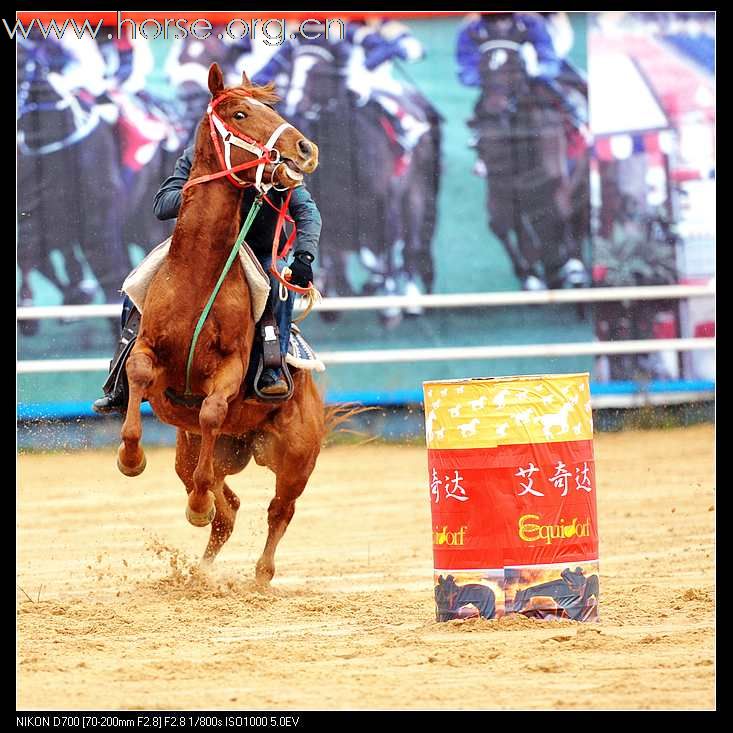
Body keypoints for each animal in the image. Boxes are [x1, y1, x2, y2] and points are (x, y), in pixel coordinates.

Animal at [117, 66, 324, 588]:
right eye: (240, 112)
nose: (304, 148)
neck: (199, 274)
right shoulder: (147, 346)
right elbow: (139, 374)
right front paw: (131, 460)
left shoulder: (229, 369)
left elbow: (211, 409)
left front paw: (194, 507)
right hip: (193, 450)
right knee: (225, 505)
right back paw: (201, 567)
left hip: (296, 456)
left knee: (278, 510)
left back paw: (259, 575)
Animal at [280, 43, 440, 322]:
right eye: (291, 69)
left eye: (320, 71)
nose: (292, 104)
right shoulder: (333, 209)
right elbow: (336, 253)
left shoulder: (384, 203)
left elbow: (380, 254)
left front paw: (386, 302)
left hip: (417, 193)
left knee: (411, 245)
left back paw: (411, 300)